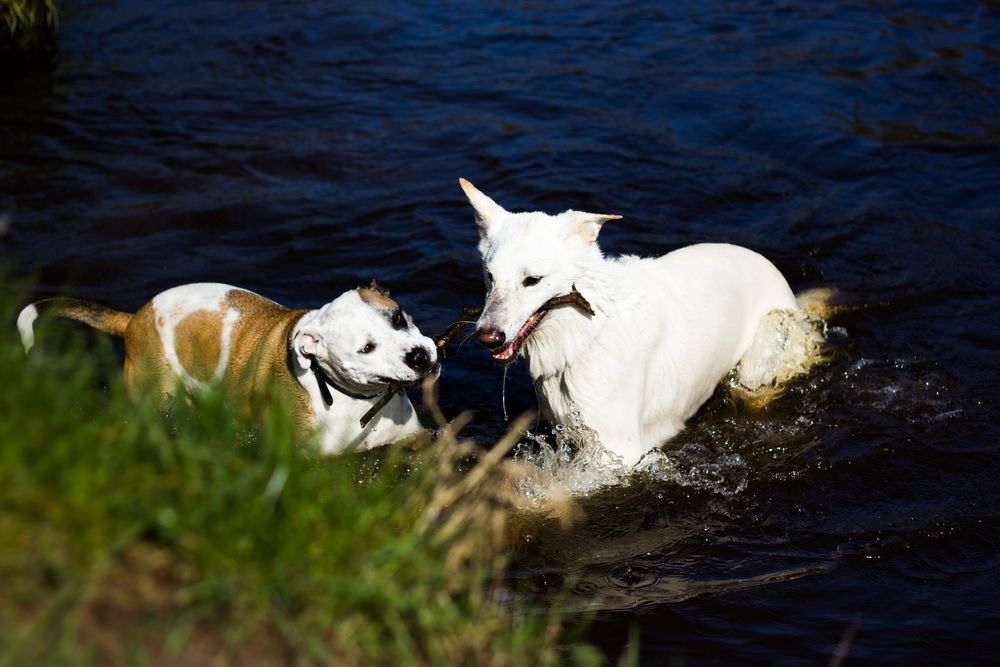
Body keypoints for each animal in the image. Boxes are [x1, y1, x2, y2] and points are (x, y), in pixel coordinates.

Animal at [460, 180, 820, 468]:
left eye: (532, 280)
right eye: (490, 277)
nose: (487, 337)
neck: (586, 337)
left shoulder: (619, 455)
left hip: (757, 371)